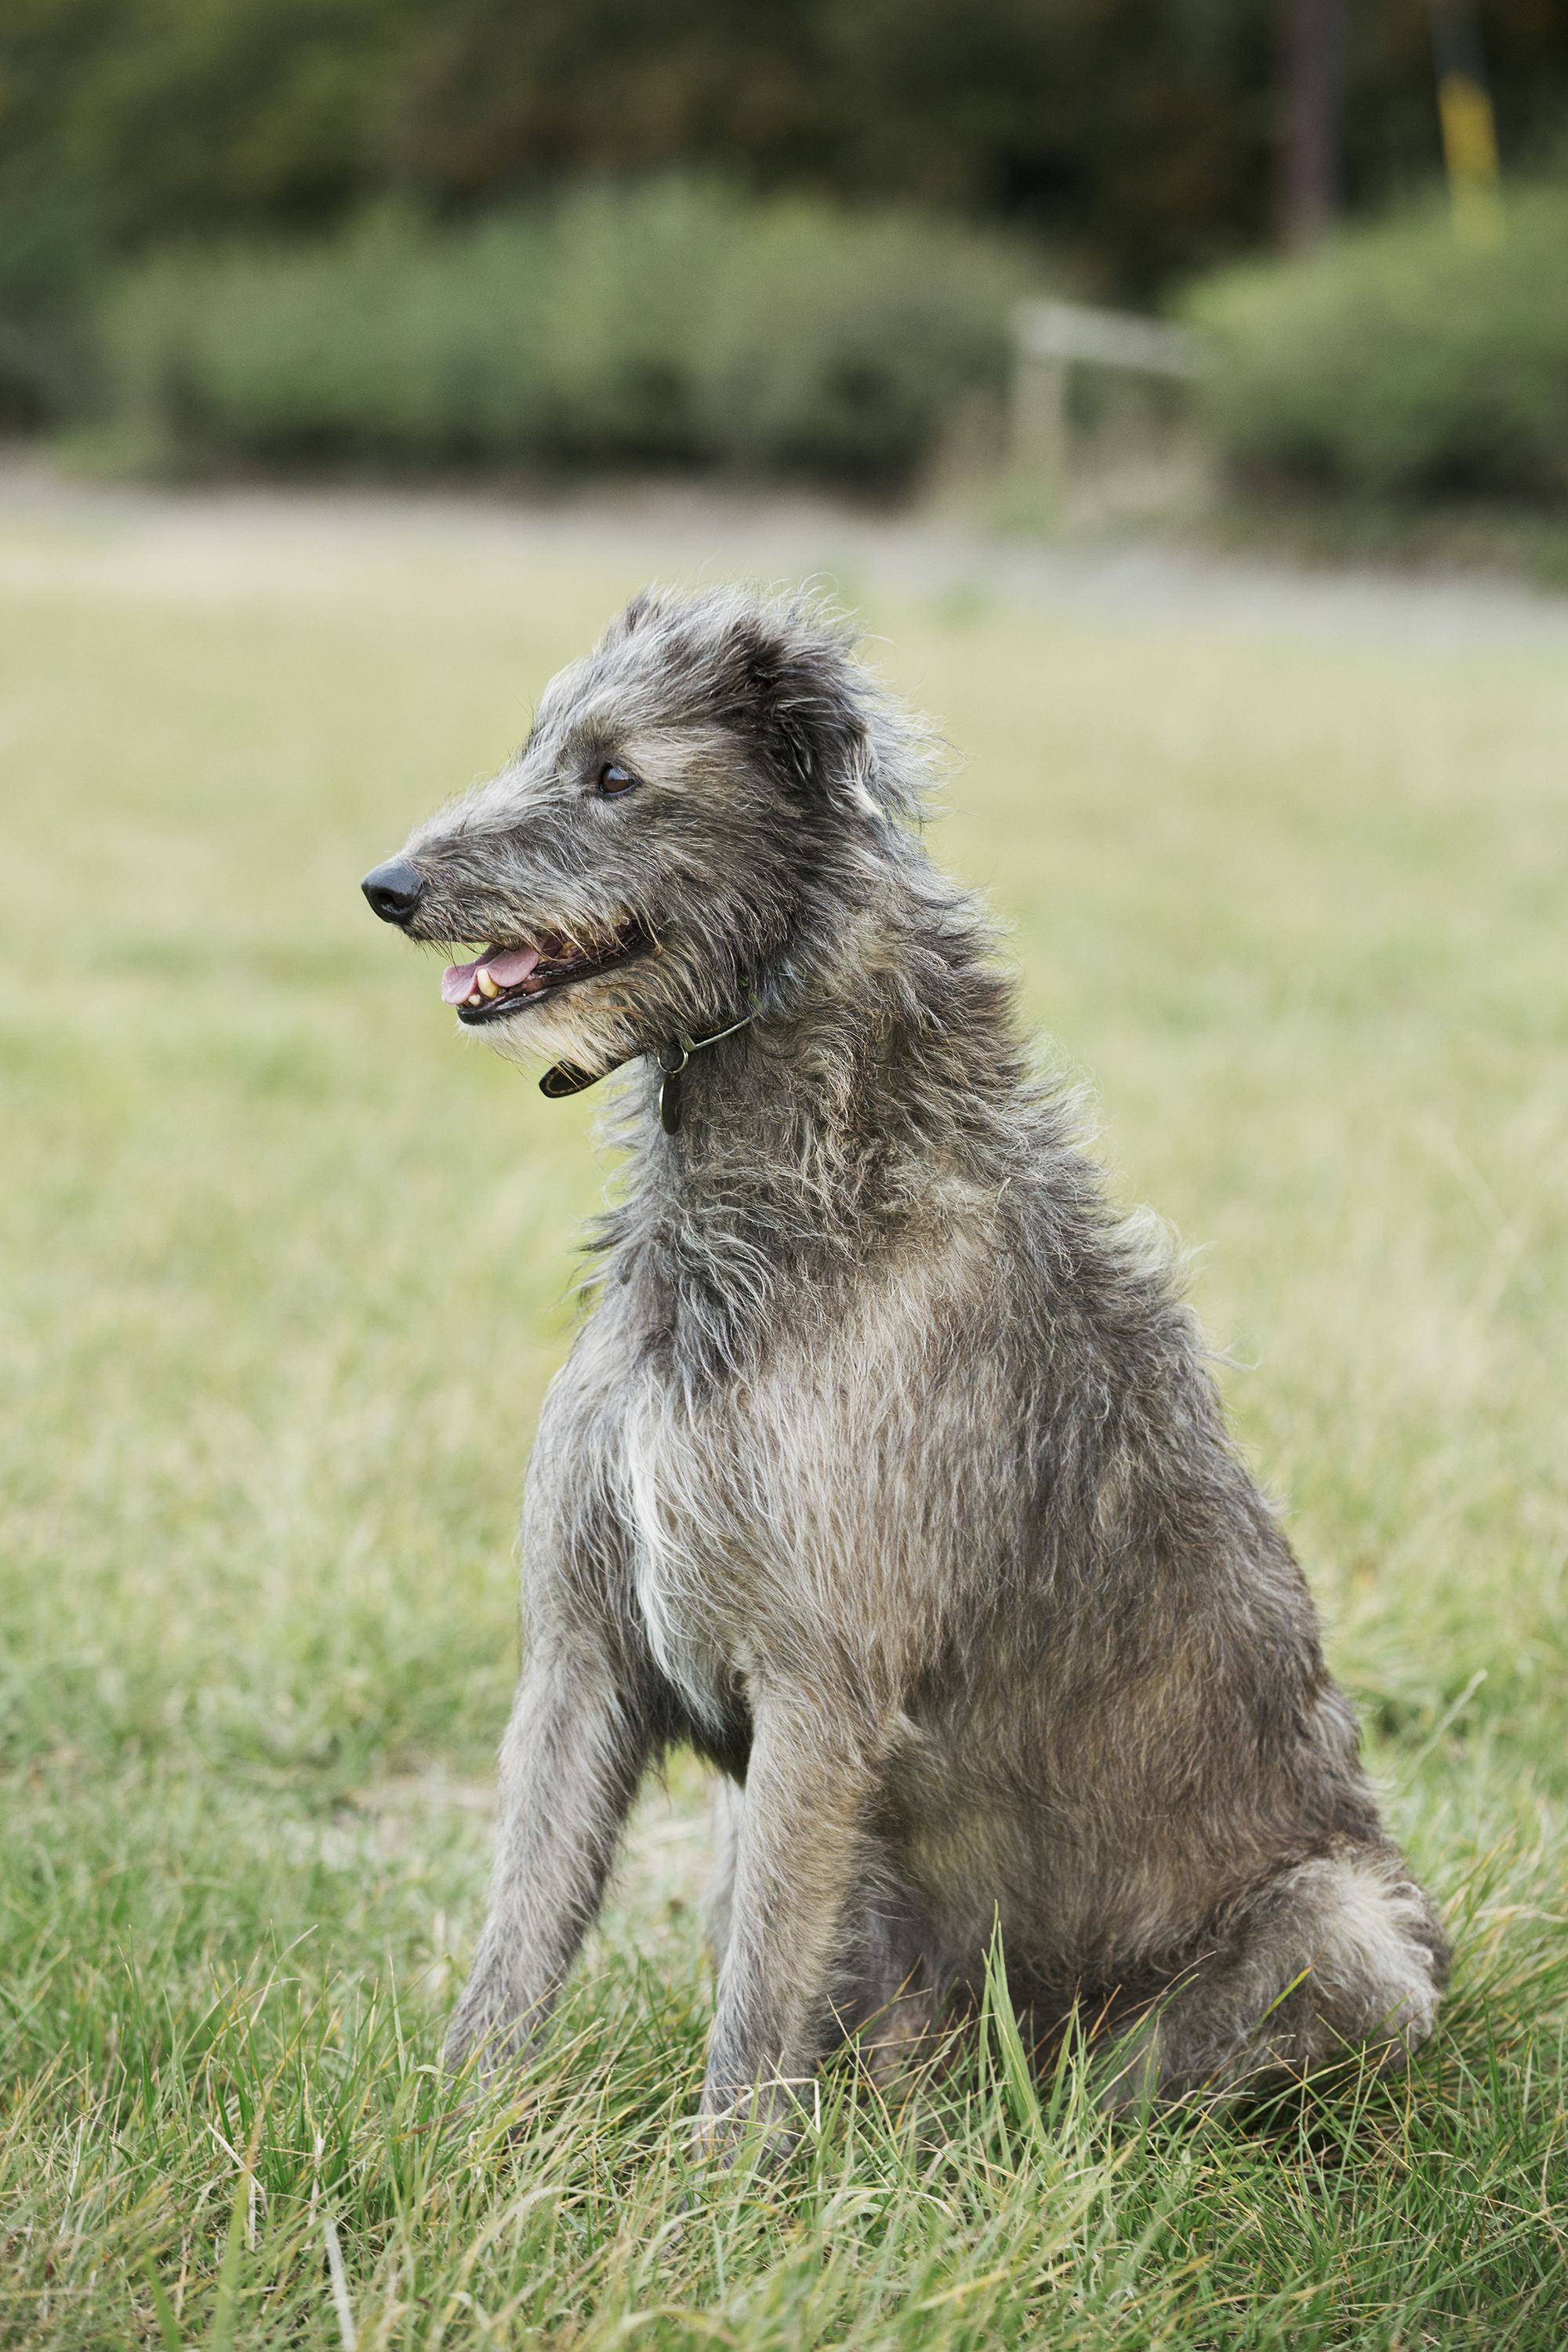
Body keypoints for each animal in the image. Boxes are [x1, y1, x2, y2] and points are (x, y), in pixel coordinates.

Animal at [361, 579, 1439, 2145]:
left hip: (1346, 1933)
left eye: (615, 774)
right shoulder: (582, 1650)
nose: (386, 886)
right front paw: (451, 2135)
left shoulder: (824, 1695)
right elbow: (523, 1928)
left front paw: (717, 2194)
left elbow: (755, 2017)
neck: (783, 1207)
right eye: (539, 745)